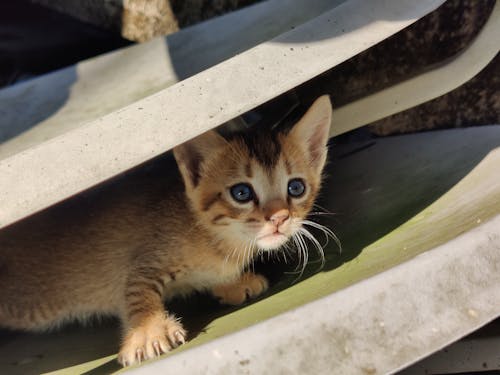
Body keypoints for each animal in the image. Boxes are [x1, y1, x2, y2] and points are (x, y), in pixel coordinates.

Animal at [0, 94, 334, 368]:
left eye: (296, 187)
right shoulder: (146, 260)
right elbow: (138, 291)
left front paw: (233, 283)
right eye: (241, 193)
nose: (279, 218)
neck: (219, 243)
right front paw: (148, 331)